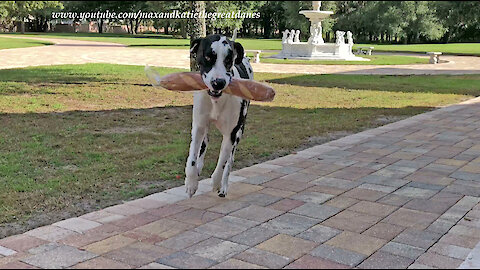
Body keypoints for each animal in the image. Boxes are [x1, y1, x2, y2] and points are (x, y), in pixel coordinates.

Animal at [186, 34, 253, 197]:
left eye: (229, 60)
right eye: (208, 57)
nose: (219, 82)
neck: (216, 101)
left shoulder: (231, 134)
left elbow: (222, 162)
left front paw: (216, 183)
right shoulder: (198, 126)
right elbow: (192, 157)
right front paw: (191, 182)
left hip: (239, 133)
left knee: (230, 161)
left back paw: (223, 186)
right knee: (204, 143)